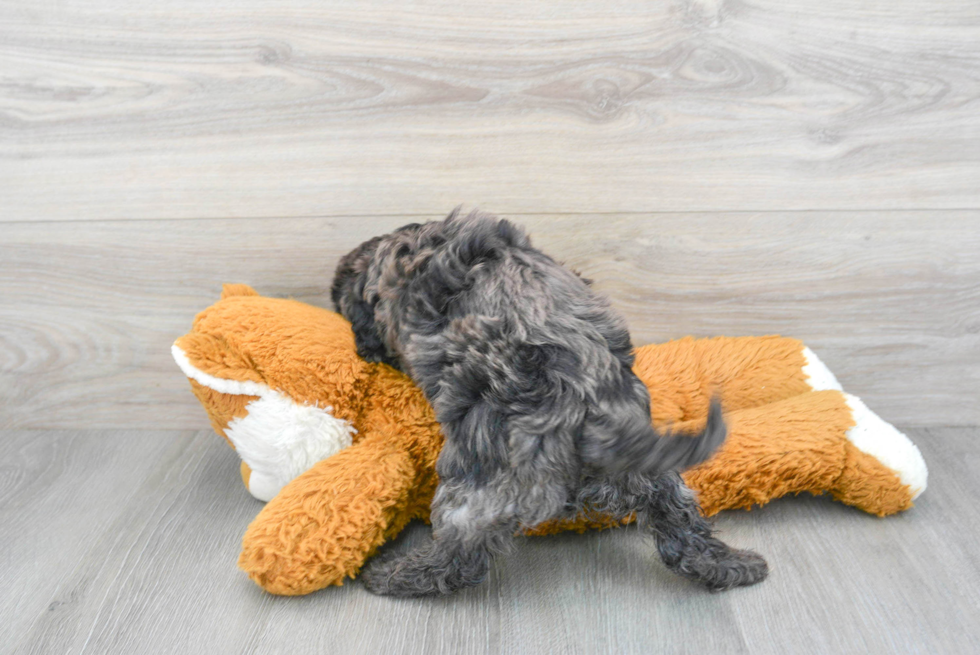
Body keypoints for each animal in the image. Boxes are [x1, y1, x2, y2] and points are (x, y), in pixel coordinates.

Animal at [334, 211, 768, 600]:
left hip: (482, 477)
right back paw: (734, 566)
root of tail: (588, 404)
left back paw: (395, 576)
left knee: (462, 550)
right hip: (655, 477)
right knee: (681, 522)